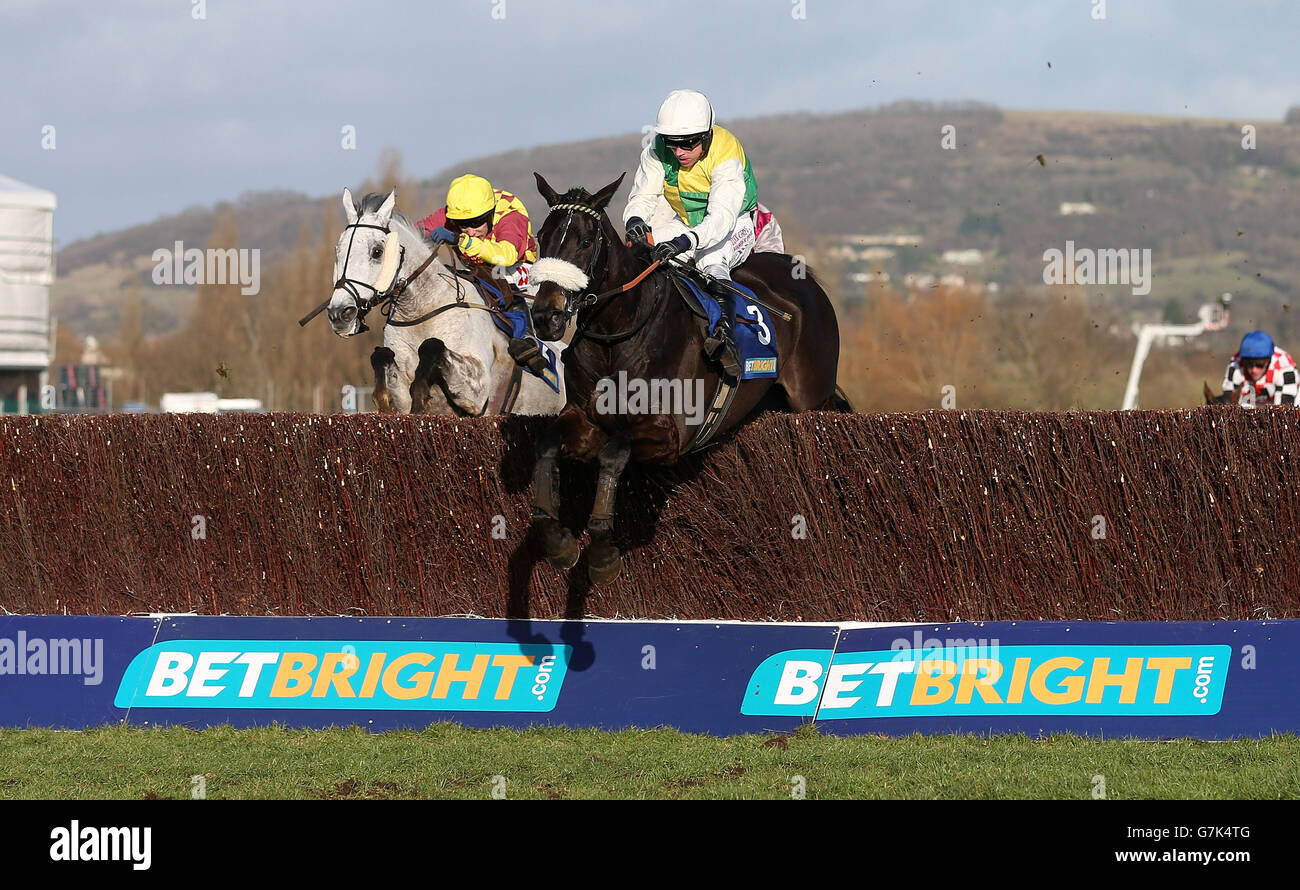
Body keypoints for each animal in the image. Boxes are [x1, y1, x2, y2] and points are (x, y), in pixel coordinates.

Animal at [522, 174, 847, 582]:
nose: (546, 316)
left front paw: (602, 554)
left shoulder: (671, 434)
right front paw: (559, 542)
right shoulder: (585, 418)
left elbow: (614, 453)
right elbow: (546, 444)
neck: (618, 334)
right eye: (541, 237)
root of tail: (804, 278)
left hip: (812, 399)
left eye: (584, 241)